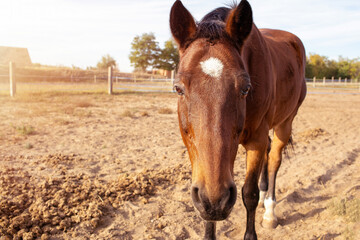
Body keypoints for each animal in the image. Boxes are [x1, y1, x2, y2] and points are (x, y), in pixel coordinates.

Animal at [170, 0, 306, 240]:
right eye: (178, 88)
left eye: (245, 89)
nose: (217, 200)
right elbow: (207, 213)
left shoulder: (256, 140)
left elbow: (249, 194)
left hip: (286, 122)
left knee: (274, 160)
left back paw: (269, 211)